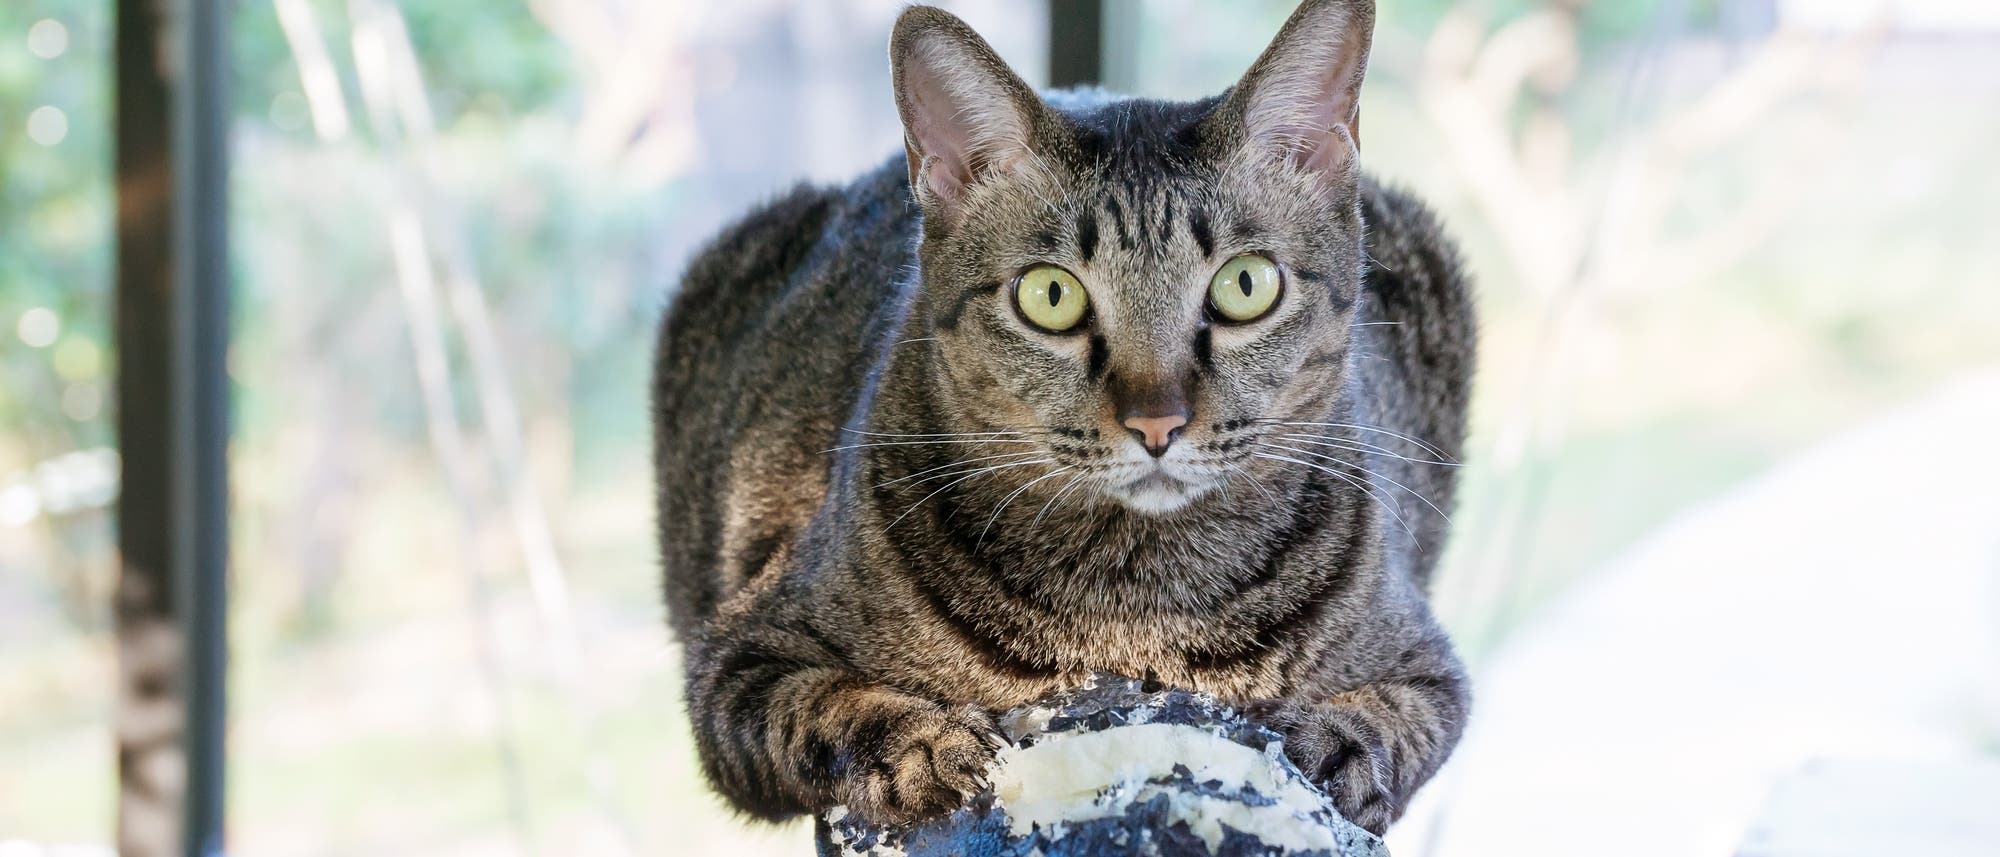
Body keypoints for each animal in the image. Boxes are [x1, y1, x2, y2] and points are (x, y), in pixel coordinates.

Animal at [652, 0, 1472, 832]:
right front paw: (924, 746)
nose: (1157, 423)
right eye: (1051, 295)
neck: (1134, 612)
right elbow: (825, 706)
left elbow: (1394, 721)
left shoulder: (1431, 667)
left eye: (1246, 285)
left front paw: (1334, 750)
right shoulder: (739, 656)